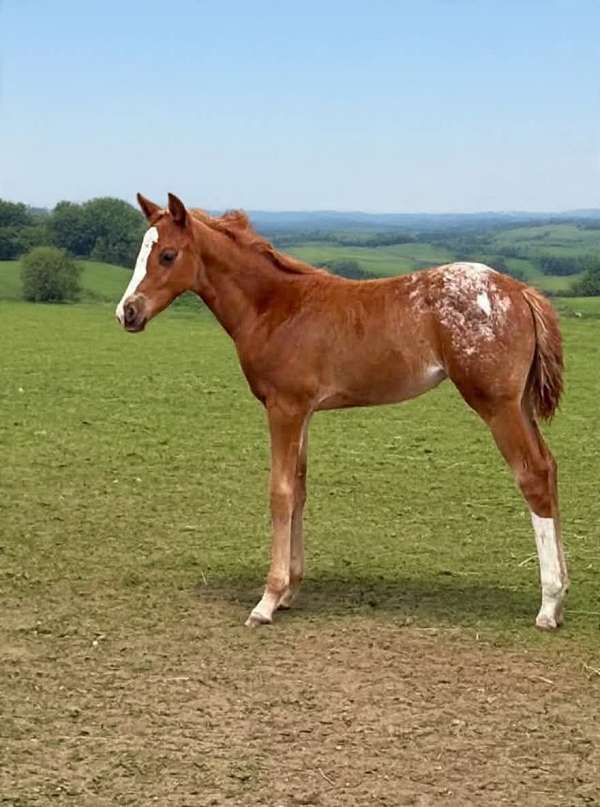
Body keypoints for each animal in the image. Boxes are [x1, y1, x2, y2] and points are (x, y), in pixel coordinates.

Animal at [116, 193, 568, 630]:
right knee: (548, 467)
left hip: (497, 405)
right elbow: (299, 489)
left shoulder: (284, 408)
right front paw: (290, 592)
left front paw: (267, 600)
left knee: (531, 475)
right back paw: (561, 596)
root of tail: (519, 290)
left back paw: (548, 606)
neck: (275, 307)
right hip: (521, 403)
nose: (127, 313)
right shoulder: (304, 412)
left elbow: (280, 492)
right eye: (141, 251)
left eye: (167, 255)